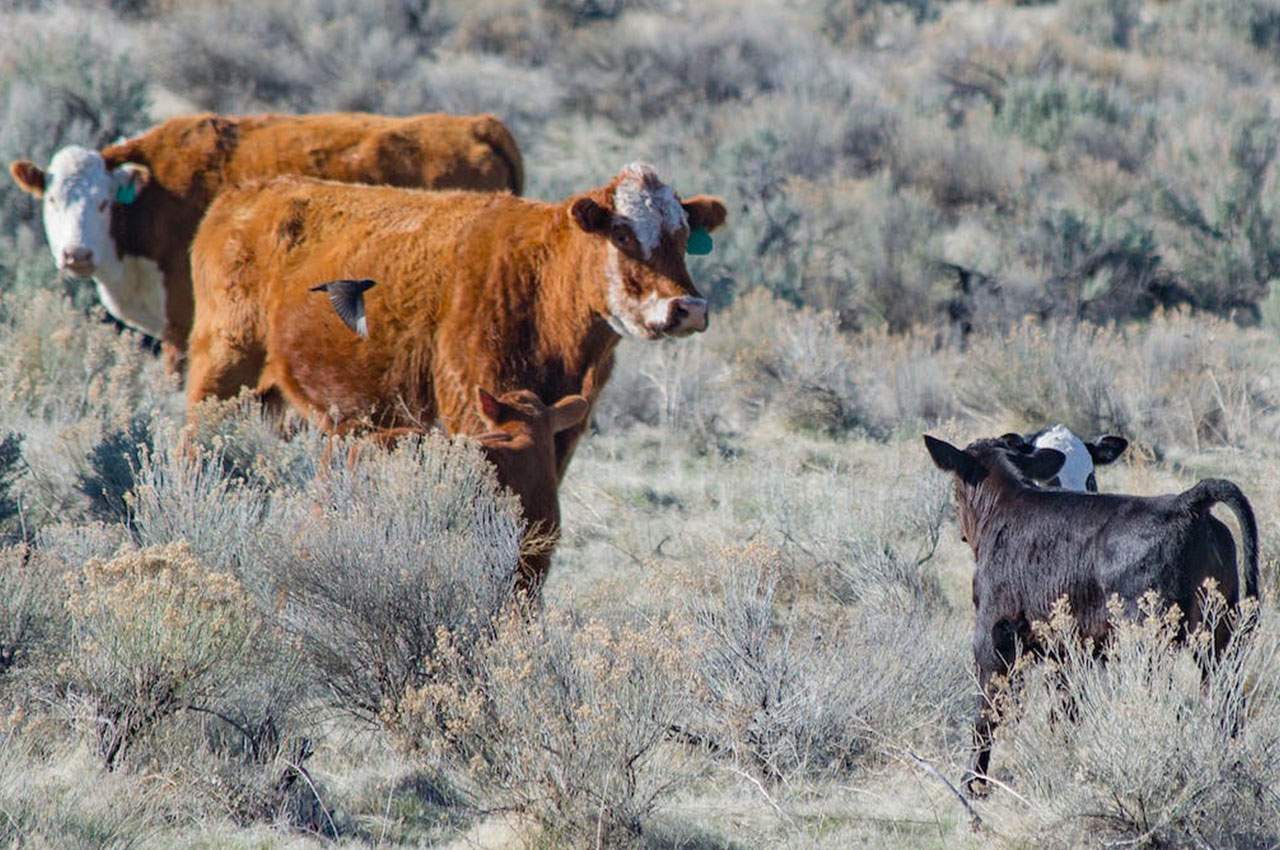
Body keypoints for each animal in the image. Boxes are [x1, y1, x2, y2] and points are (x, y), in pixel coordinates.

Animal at [184, 162, 727, 473]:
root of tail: (242, 194)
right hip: (222, 370)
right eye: (622, 234)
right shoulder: (473, 402)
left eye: (684, 236)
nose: (688, 308)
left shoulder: (566, 424)